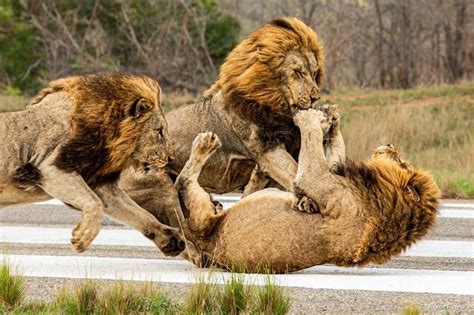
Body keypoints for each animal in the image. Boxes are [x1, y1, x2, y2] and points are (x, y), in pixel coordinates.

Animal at [0, 74, 184, 256]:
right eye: (159, 131)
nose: (171, 158)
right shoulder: (49, 167)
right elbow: (95, 203)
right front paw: (82, 238)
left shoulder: (101, 185)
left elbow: (139, 213)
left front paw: (171, 239)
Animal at [122, 16, 328, 227]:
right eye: (297, 72)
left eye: (315, 73)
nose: (315, 97)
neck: (275, 104)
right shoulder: (268, 151)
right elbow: (294, 171)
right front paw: (309, 199)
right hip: (161, 188)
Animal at [171, 107, 440, 272]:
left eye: (402, 162)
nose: (391, 145)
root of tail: (204, 249)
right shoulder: (331, 172)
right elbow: (333, 151)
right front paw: (332, 119)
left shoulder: (317, 179)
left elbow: (311, 142)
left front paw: (312, 118)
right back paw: (257, 174)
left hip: (202, 221)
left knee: (182, 182)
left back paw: (204, 144)